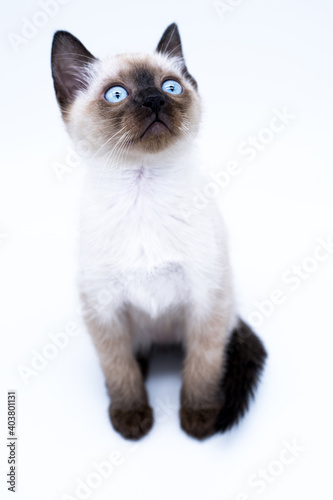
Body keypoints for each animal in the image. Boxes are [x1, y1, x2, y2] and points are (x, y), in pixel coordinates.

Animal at [50, 23, 266, 440]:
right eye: (117, 94)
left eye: (170, 87)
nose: (154, 100)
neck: (143, 190)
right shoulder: (104, 309)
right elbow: (120, 370)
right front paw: (132, 418)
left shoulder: (206, 302)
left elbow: (202, 368)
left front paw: (199, 420)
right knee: (134, 358)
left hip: (221, 308)